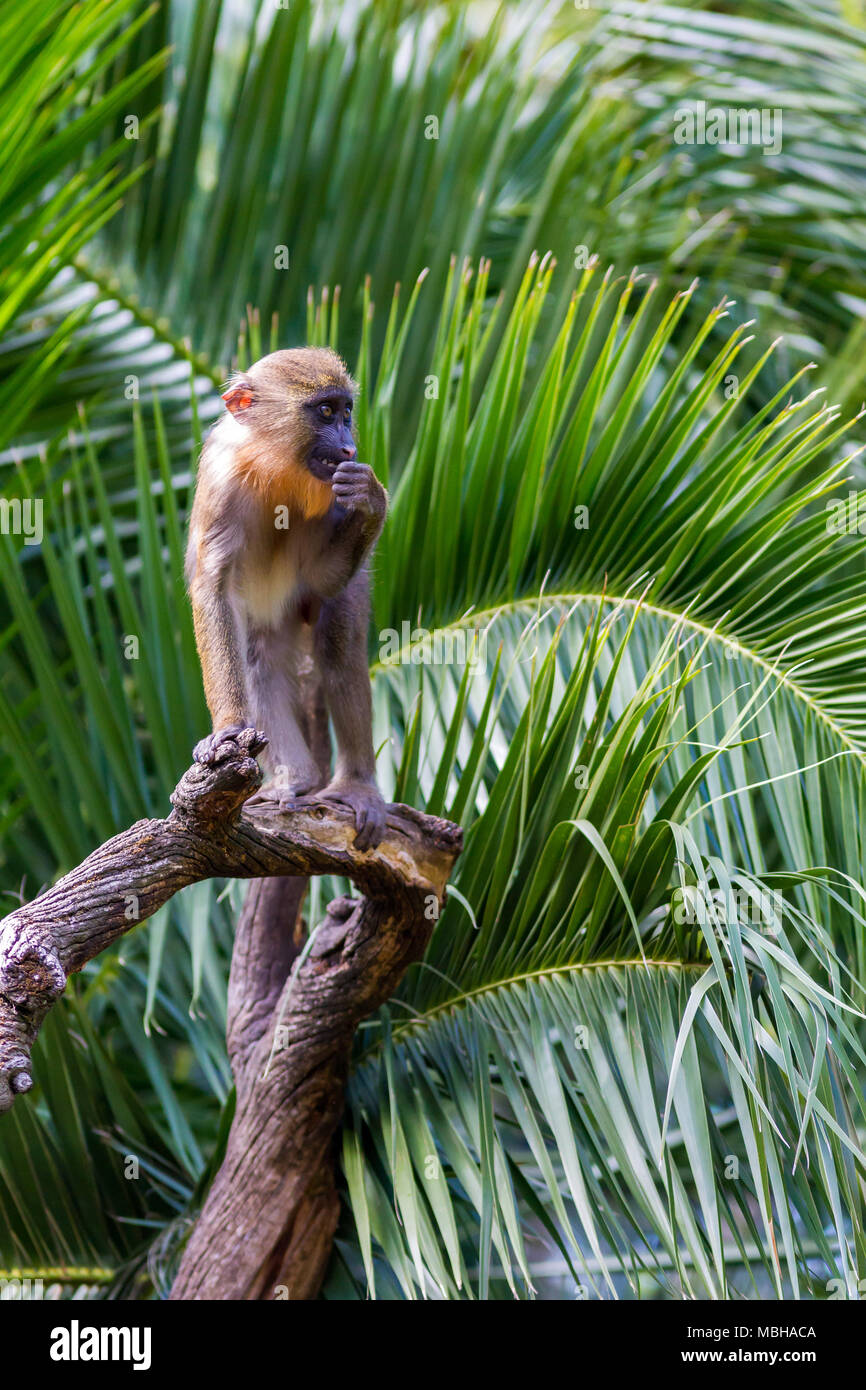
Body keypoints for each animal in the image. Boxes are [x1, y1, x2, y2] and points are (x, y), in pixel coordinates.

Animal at [186, 346, 389, 845]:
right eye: (325, 412)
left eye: (346, 412)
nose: (348, 447)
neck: (275, 463)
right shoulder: (222, 478)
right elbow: (213, 588)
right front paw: (229, 730)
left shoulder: (333, 493)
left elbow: (325, 578)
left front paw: (372, 499)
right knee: (256, 655)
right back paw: (292, 779)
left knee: (338, 643)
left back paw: (354, 785)